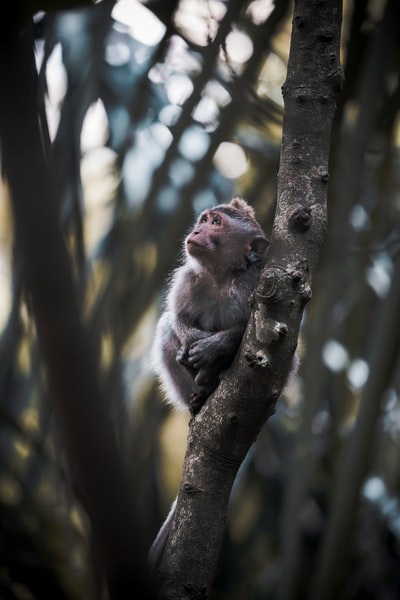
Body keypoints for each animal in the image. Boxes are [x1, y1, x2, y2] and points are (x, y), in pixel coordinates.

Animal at [152, 197, 270, 418]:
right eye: (203, 221)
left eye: (215, 222)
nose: (196, 231)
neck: (220, 275)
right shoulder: (187, 278)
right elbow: (178, 317)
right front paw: (192, 340)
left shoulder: (254, 279)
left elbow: (251, 328)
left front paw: (212, 348)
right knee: (166, 327)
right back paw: (201, 386)